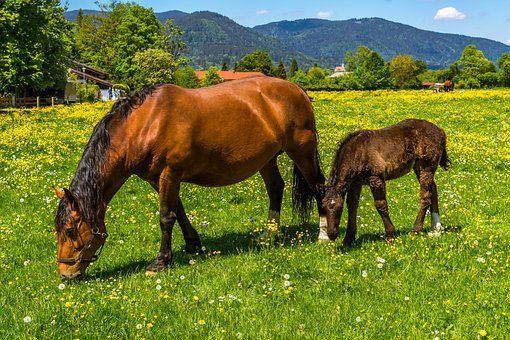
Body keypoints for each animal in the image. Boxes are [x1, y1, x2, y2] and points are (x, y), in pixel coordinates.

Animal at [53, 77, 326, 278]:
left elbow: (166, 217)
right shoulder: (158, 179)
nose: (65, 273)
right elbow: (179, 212)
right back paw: (269, 235)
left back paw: (323, 235)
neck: (147, 123)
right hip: (266, 159)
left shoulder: (170, 174)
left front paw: (161, 262)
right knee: (276, 188)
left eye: (69, 230)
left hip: (301, 150)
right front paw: (193, 245)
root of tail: (298, 90)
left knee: (319, 187)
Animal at [322, 119, 450, 244]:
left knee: (425, 196)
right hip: (418, 166)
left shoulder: (376, 178)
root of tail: (440, 131)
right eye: (323, 208)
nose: (331, 234)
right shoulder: (355, 183)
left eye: (339, 208)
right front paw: (348, 238)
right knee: (433, 189)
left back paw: (416, 230)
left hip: (427, 165)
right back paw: (436, 228)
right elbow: (352, 205)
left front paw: (390, 235)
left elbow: (380, 204)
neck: (356, 152)